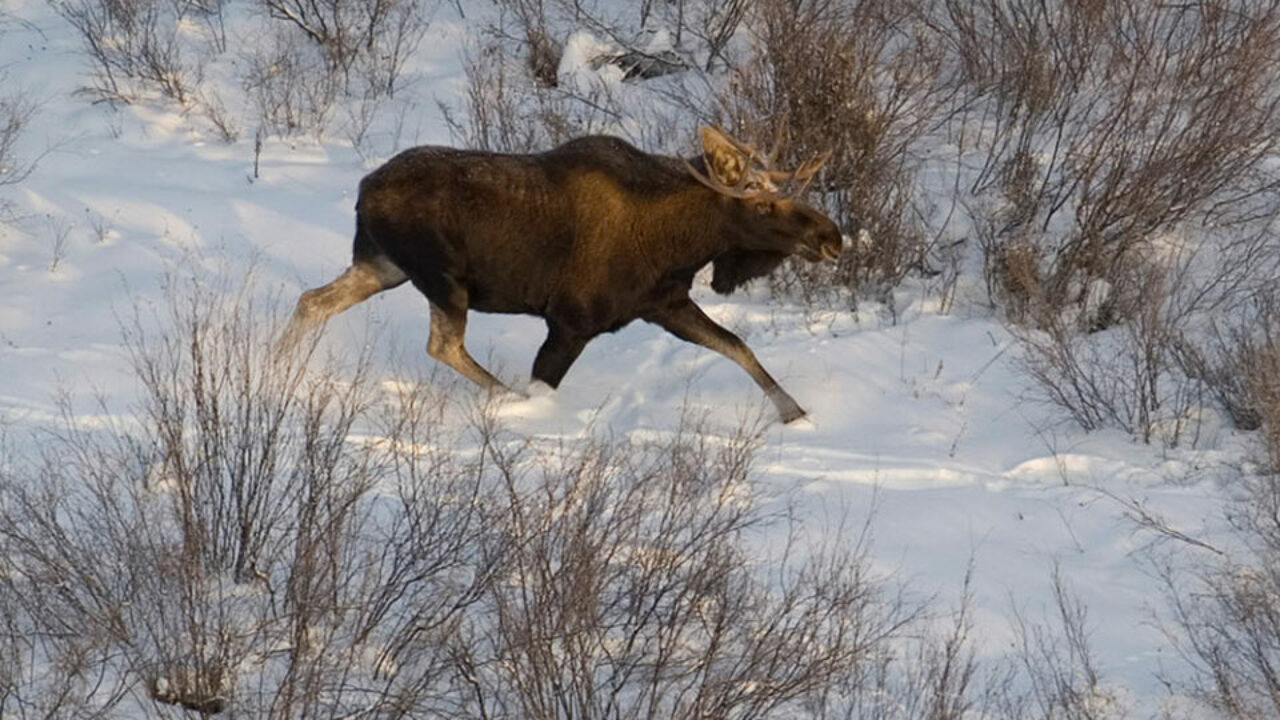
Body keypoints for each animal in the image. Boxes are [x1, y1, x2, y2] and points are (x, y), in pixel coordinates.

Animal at [288, 126, 849, 422]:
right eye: (763, 204)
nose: (832, 236)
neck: (682, 241)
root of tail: (364, 189)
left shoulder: (664, 303)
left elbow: (737, 346)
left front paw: (796, 414)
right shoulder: (571, 321)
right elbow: (543, 383)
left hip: (382, 266)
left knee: (312, 301)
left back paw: (278, 369)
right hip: (441, 277)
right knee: (443, 344)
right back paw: (506, 397)